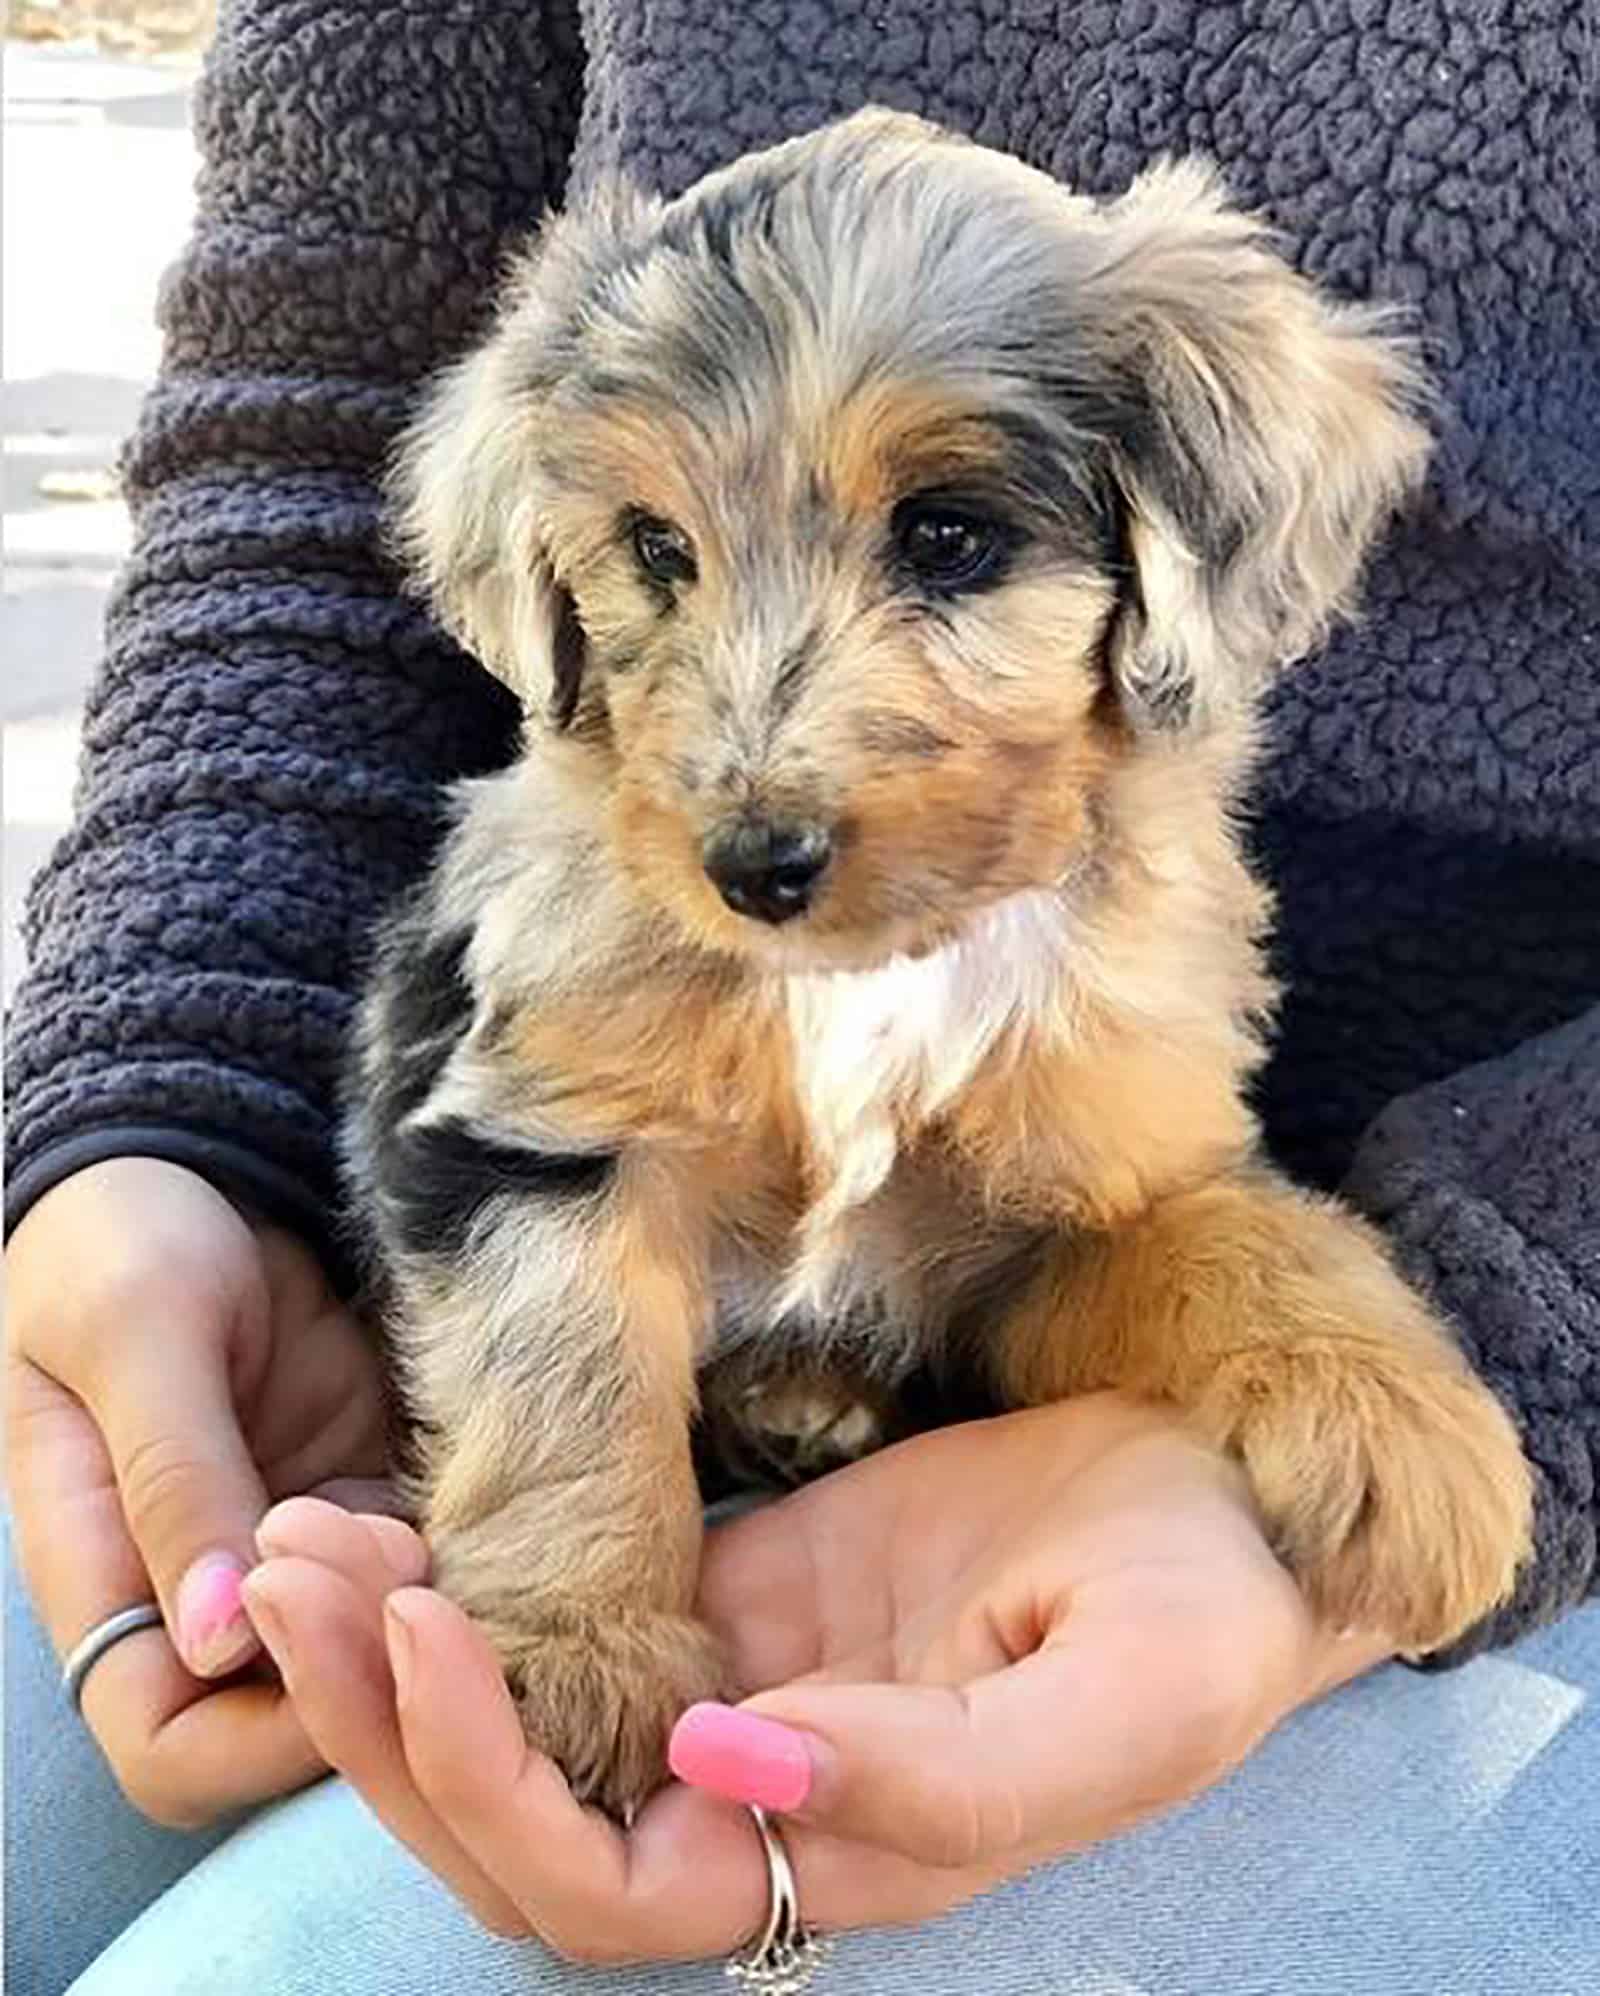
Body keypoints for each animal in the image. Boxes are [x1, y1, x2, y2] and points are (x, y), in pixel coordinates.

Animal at [343, 113, 1524, 1828]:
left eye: (948, 536)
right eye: (655, 550)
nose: (752, 863)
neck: (875, 974)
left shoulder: (1061, 1213)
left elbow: (1251, 1237)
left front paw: (1411, 1439)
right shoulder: (536, 1127)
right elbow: (561, 1375)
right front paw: (583, 1649)